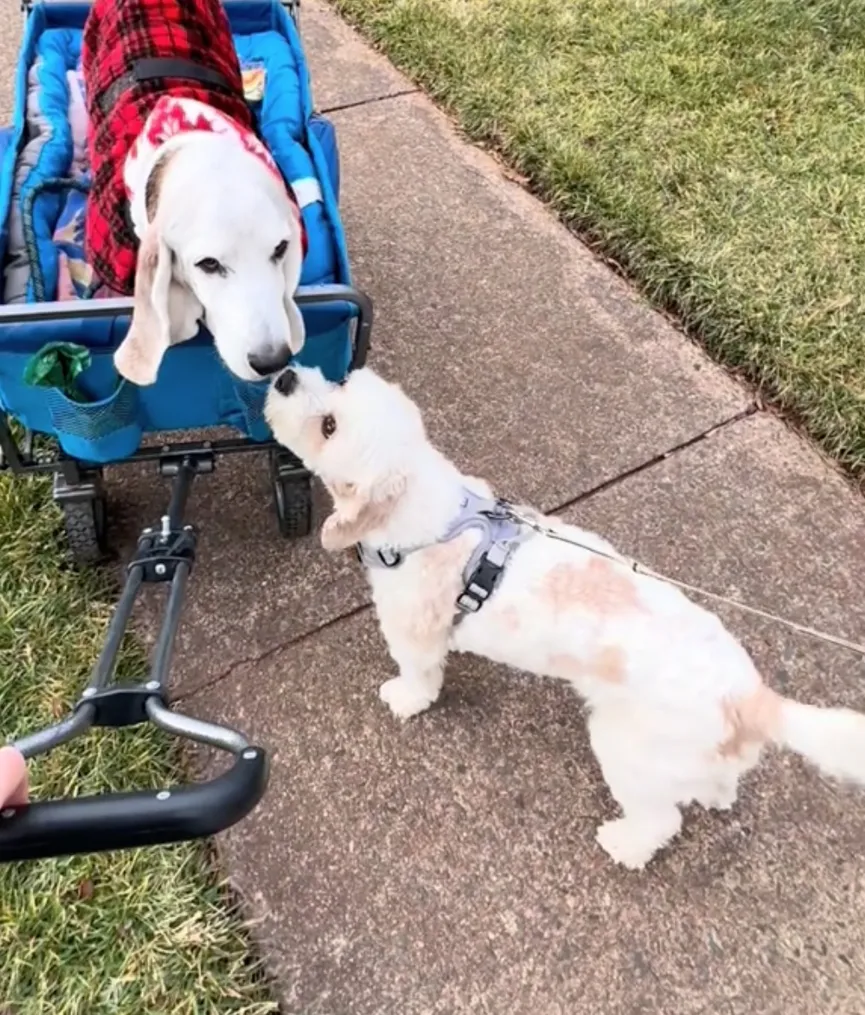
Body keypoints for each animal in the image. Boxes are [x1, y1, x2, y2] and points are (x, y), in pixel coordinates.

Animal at [265, 365, 865, 872]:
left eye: (329, 425)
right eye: (340, 380)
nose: (285, 374)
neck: (426, 502)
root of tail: (751, 699)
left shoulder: (413, 630)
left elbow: (419, 675)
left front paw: (406, 699)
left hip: (627, 750)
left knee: (660, 818)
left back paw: (624, 845)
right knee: (716, 785)